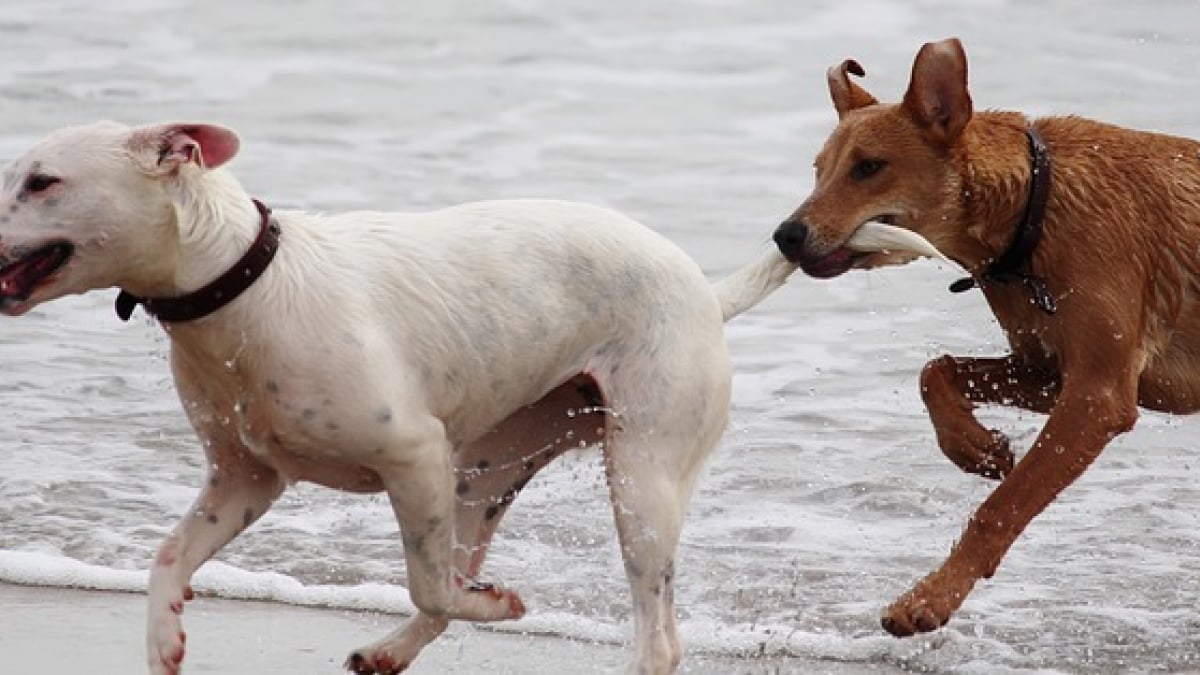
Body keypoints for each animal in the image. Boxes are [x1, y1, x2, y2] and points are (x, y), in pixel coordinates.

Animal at [2, 120, 806, 672]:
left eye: (41, 182)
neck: (247, 283)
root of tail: (706, 291)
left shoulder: (413, 456)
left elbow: (428, 582)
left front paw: (495, 604)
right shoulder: (244, 480)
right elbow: (168, 558)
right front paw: (163, 636)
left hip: (641, 476)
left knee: (656, 633)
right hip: (487, 470)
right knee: (470, 558)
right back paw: (390, 650)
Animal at [772, 36, 1200, 634]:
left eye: (869, 167)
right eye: (819, 170)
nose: (785, 235)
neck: (1034, 209)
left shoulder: (1099, 395)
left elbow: (1002, 508)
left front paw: (930, 598)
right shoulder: (1047, 369)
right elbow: (937, 369)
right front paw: (976, 447)